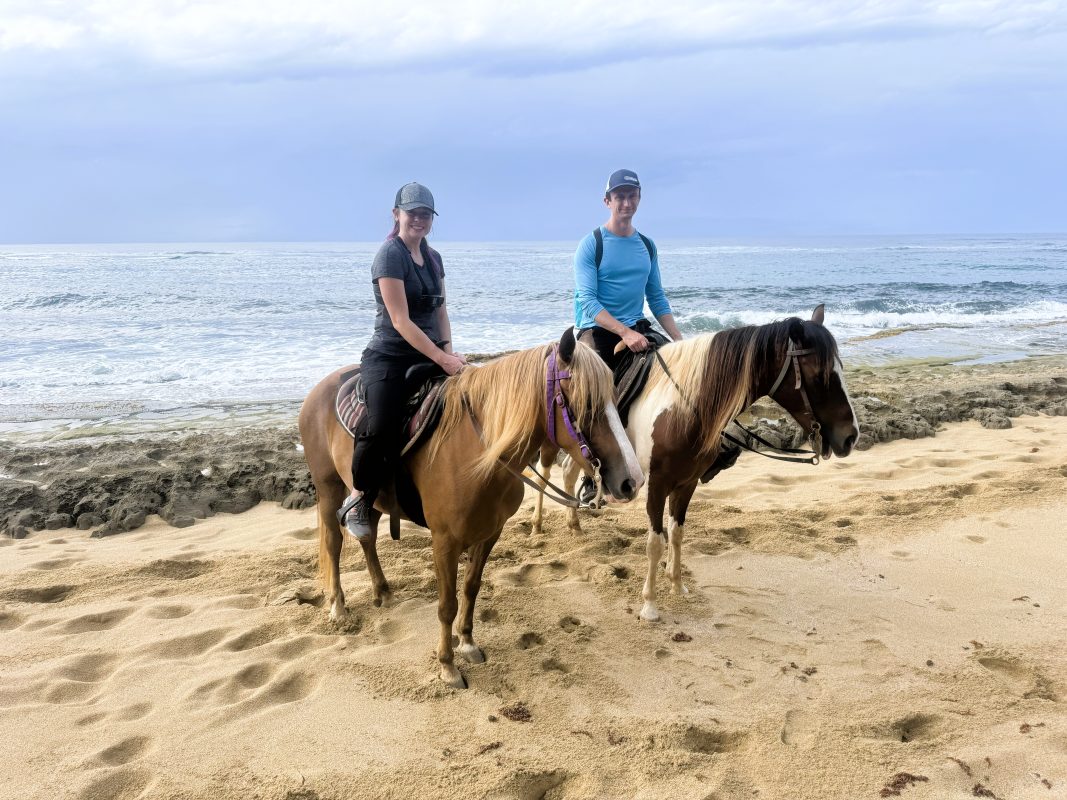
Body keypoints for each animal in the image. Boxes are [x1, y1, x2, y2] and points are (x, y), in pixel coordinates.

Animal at [298, 328, 644, 687]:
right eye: (586, 403)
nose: (631, 480)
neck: (478, 457)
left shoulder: (490, 533)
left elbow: (471, 588)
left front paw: (467, 643)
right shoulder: (444, 541)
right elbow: (447, 604)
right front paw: (447, 666)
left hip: (376, 496)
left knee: (368, 537)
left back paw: (382, 590)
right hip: (328, 488)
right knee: (333, 543)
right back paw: (338, 607)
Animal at [530, 305, 860, 622]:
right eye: (820, 375)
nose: (851, 437)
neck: (682, 409)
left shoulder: (687, 482)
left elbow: (676, 534)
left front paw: (677, 585)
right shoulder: (656, 484)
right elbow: (655, 542)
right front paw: (650, 606)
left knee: (569, 471)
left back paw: (575, 525)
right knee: (546, 469)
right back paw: (537, 525)